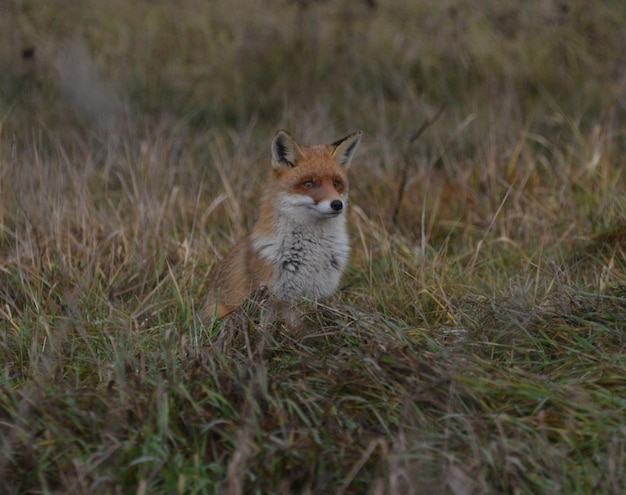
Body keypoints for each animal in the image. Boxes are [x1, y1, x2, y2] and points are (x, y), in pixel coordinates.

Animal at [202, 130, 364, 320]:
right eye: (308, 183)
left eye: (336, 183)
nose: (337, 204)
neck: (313, 254)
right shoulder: (272, 298)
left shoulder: (317, 295)